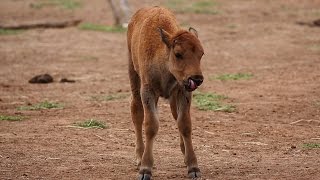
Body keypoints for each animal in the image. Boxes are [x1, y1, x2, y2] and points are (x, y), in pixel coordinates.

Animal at [127, 6, 204, 179]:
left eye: (201, 54)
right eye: (178, 54)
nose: (196, 79)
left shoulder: (183, 92)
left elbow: (184, 124)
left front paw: (193, 167)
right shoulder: (148, 92)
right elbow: (151, 125)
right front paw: (145, 169)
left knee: (176, 116)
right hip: (133, 76)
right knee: (136, 112)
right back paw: (139, 157)